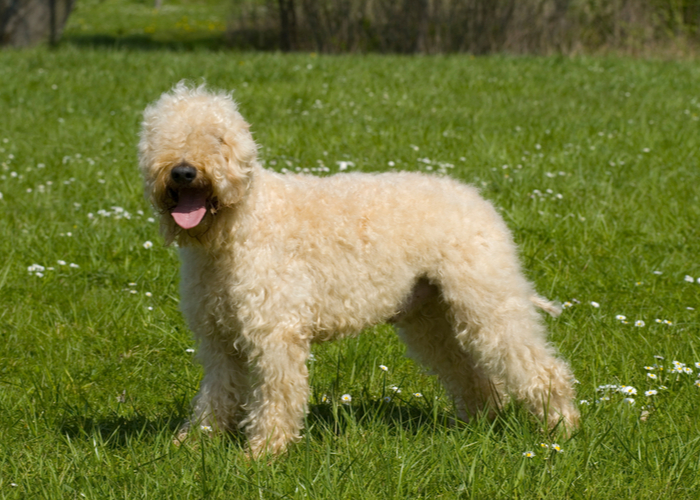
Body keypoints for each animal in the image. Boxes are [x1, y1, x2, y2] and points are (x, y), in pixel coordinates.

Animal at [137, 82, 580, 458]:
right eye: (157, 138)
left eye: (219, 138)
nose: (183, 172)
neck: (236, 226)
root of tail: (480, 201)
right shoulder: (217, 339)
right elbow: (217, 395)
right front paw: (193, 443)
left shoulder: (274, 332)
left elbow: (277, 395)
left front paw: (263, 453)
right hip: (431, 316)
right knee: (474, 376)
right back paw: (478, 427)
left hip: (487, 301)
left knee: (543, 369)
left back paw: (562, 429)